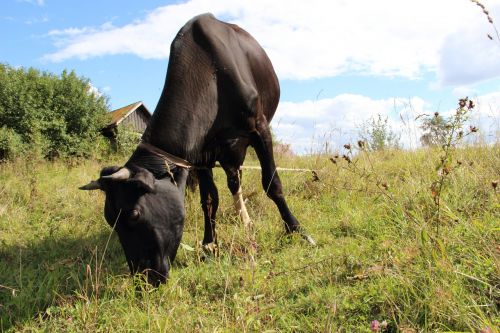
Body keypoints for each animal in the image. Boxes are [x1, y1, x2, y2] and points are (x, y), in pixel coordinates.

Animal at [80, 13, 314, 286]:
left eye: (134, 215)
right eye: (110, 221)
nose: (145, 278)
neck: (211, 76)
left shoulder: (259, 127)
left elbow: (272, 184)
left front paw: (297, 230)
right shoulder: (201, 155)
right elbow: (209, 200)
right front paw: (209, 245)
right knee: (234, 181)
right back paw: (242, 217)